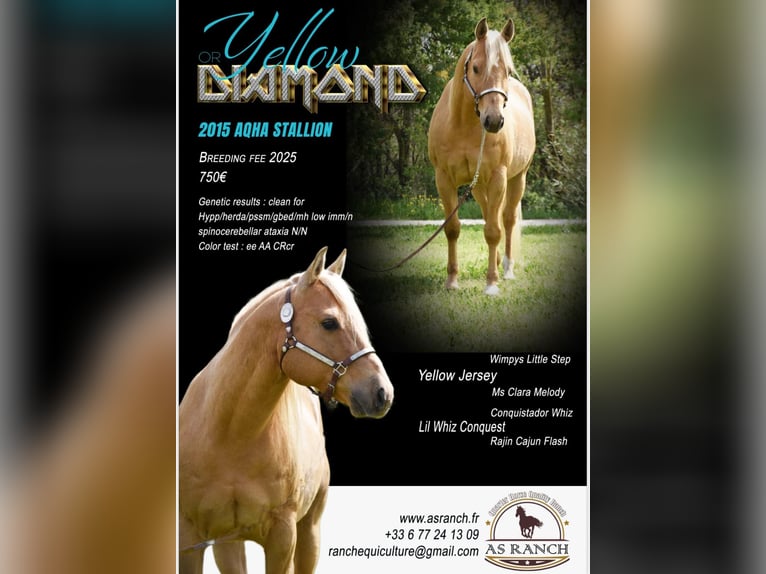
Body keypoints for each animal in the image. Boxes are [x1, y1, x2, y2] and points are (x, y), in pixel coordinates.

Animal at [179, 247, 394, 574]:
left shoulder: (283, 536)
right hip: (228, 543)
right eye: (329, 322)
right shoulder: (190, 538)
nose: (382, 393)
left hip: (309, 532)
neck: (230, 434)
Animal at [428, 17, 536, 295]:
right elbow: (453, 229)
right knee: (489, 214)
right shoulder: (444, 180)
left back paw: (506, 269)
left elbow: (494, 231)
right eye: (475, 68)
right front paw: (452, 280)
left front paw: (492, 284)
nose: (494, 121)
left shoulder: (498, 178)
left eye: (508, 71)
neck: (464, 125)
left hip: (517, 179)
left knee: (506, 220)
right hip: (477, 186)